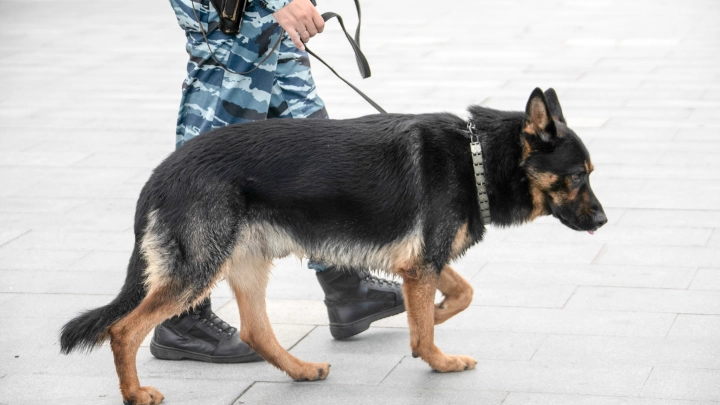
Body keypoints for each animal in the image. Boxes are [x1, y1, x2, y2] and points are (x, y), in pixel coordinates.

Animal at [59, 89, 604, 404]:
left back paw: (300, 370)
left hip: (245, 263)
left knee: (256, 331)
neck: (477, 157)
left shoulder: (422, 261)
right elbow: (432, 322)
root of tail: (162, 172)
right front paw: (437, 356)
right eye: (578, 176)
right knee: (123, 330)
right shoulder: (423, 262)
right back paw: (135, 393)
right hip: (199, 268)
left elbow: (460, 293)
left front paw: (428, 318)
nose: (603, 220)